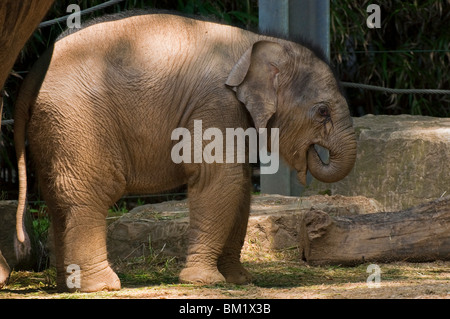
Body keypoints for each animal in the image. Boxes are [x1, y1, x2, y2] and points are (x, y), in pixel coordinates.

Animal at [12, 11, 356, 292]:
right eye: (323, 111)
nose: (314, 156)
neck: (257, 42)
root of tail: (30, 77)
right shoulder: (215, 103)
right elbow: (221, 179)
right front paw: (205, 281)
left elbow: (241, 186)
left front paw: (239, 279)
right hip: (78, 120)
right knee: (90, 192)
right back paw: (102, 286)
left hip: (56, 126)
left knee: (58, 199)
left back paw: (67, 285)